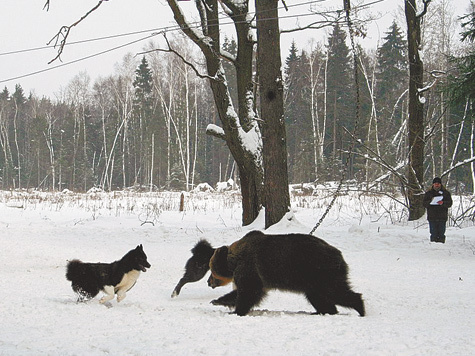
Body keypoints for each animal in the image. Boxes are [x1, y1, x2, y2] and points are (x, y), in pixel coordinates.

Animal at [206, 231, 366, 318]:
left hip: (322, 272)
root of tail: (339, 255)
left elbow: (248, 292)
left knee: (336, 291)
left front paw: (236, 311)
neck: (234, 261)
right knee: (318, 297)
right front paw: (217, 301)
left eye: (212, 271)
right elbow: (247, 291)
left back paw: (360, 308)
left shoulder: (250, 267)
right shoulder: (258, 277)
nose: (208, 281)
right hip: (312, 281)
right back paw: (322, 312)